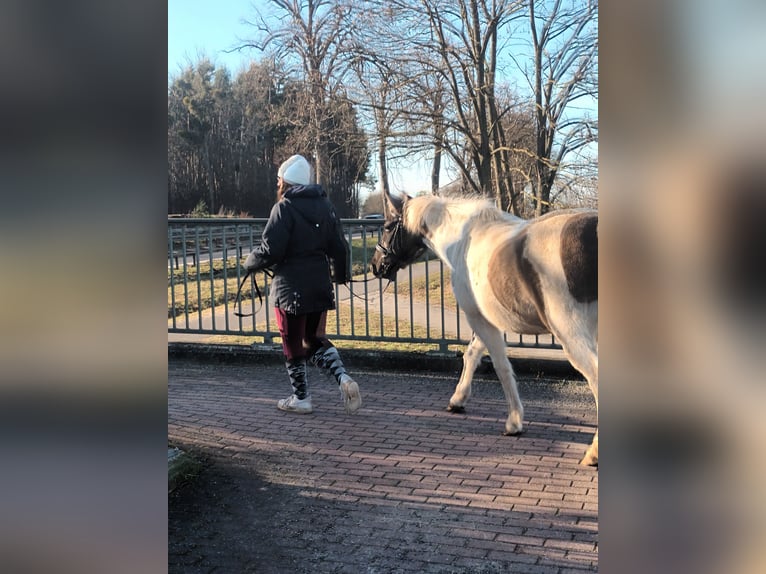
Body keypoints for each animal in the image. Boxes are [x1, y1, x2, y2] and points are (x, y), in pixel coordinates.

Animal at [372, 194, 600, 468]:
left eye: (387, 226)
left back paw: (593, 454)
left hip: (571, 334)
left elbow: (500, 367)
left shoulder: (478, 318)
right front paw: (458, 400)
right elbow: (472, 355)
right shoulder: (487, 320)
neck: (463, 240)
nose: (375, 265)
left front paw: (514, 422)